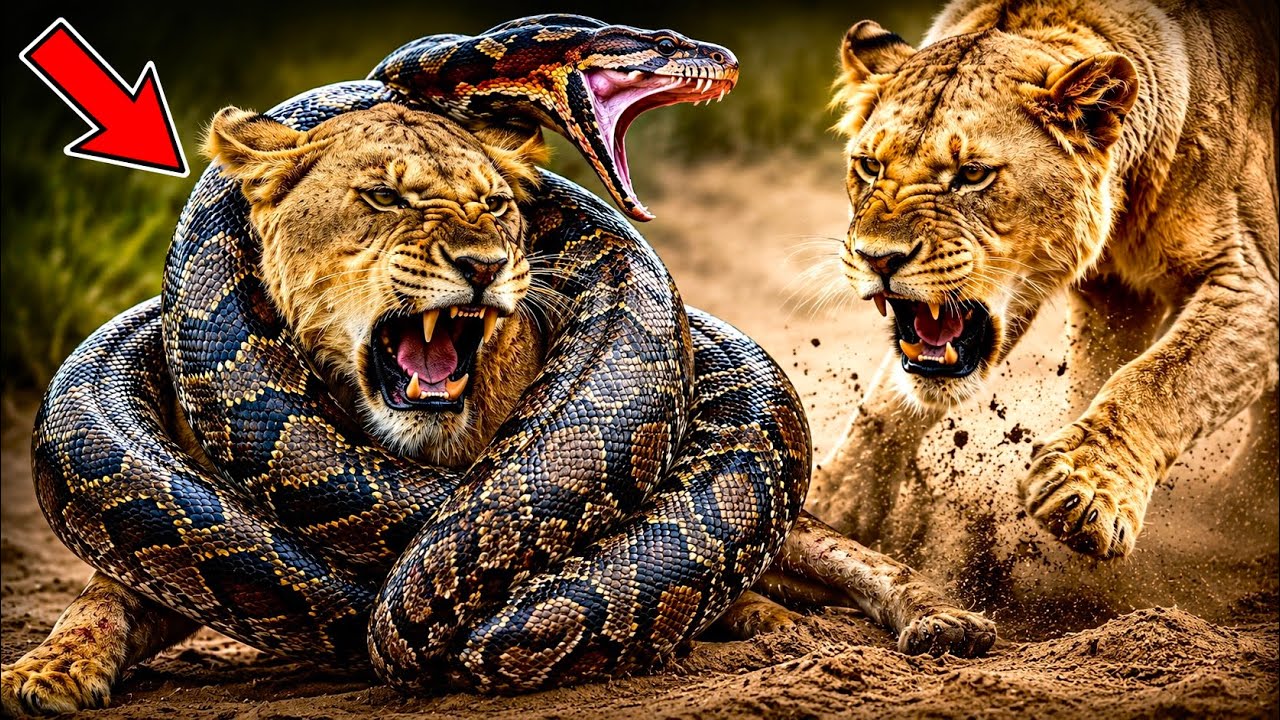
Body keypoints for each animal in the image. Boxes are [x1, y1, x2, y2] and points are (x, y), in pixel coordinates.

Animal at [807, 0, 1278, 563]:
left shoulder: (1252, 282)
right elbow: (885, 402)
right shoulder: (1113, 296)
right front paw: (834, 502)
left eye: (972, 174)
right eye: (869, 165)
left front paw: (1086, 488)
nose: (877, 258)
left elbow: (1159, 379)